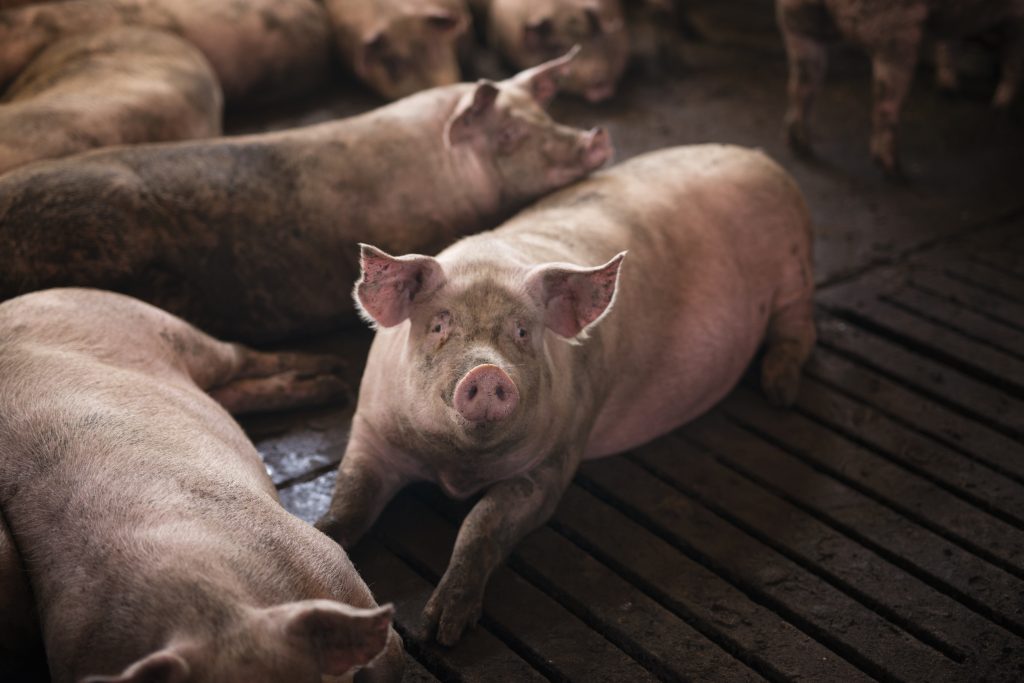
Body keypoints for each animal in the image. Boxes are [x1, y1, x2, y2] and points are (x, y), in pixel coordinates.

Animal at [0, 288, 404, 682]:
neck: (214, 611)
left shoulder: (331, 565)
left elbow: (391, 649)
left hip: (169, 329)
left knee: (241, 355)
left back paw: (335, 374)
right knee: (232, 393)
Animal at [316, 144, 817, 645]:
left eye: (522, 331)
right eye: (439, 326)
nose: (487, 372)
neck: (456, 469)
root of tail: (760, 158)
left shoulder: (554, 461)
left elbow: (481, 523)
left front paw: (441, 631)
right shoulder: (370, 431)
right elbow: (350, 497)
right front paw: (320, 536)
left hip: (795, 270)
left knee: (798, 329)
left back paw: (781, 393)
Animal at [777, 0, 1024, 174]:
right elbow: (1012, 59)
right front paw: (1003, 105)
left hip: (799, 16)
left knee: (803, 82)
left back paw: (799, 142)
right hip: (894, 23)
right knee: (886, 98)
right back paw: (890, 164)